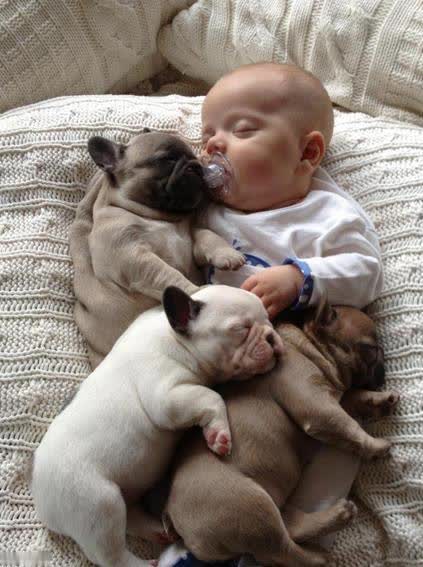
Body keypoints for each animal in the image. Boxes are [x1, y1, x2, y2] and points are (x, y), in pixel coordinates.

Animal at [31, 284, 283, 567]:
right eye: (241, 329)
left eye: (268, 320)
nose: (271, 336)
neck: (178, 341)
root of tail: (41, 500)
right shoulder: (166, 398)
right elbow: (211, 396)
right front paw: (218, 434)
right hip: (98, 503)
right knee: (110, 554)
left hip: (120, 495)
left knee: (130, 515)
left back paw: (157, 530)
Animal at [70, 131, 245, 368]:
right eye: (166, 159)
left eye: (194, 157)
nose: (197, 166)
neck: (159, 218)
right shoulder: (133, 255)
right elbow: (167, 274)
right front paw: (195, 291)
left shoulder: (190, 240)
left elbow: (207, 236)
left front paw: (228, 255)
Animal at [164, 302, 399, 567]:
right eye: (371, 349)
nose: (383, 368)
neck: (310, 348)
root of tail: (176, 521)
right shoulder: (318, 407)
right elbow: (348, 427)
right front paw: (375, 446)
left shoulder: (333, 398)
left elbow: (353, 399)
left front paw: (378, 401)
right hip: (252, 508)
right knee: (283, 551)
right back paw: (322, 552)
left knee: (291, 527)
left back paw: (337, 516)